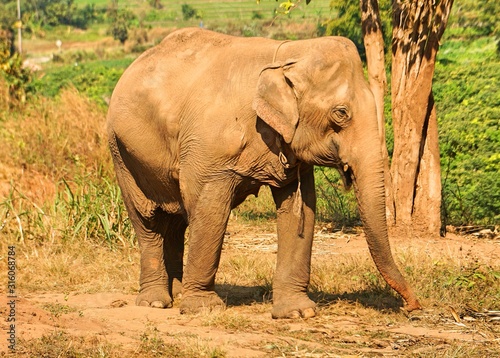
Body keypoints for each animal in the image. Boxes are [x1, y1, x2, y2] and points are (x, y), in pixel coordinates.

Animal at [106, 28, 422, 318]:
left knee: (175, 223)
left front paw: (298, 312)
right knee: (148, 221)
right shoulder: (208, 149)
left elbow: (301, 210)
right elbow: (209, 209)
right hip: (120, 151)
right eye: (341, 113)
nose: (412, 306)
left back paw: (177, 292)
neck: (288, 53)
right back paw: (156, 302)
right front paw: (204, 308)